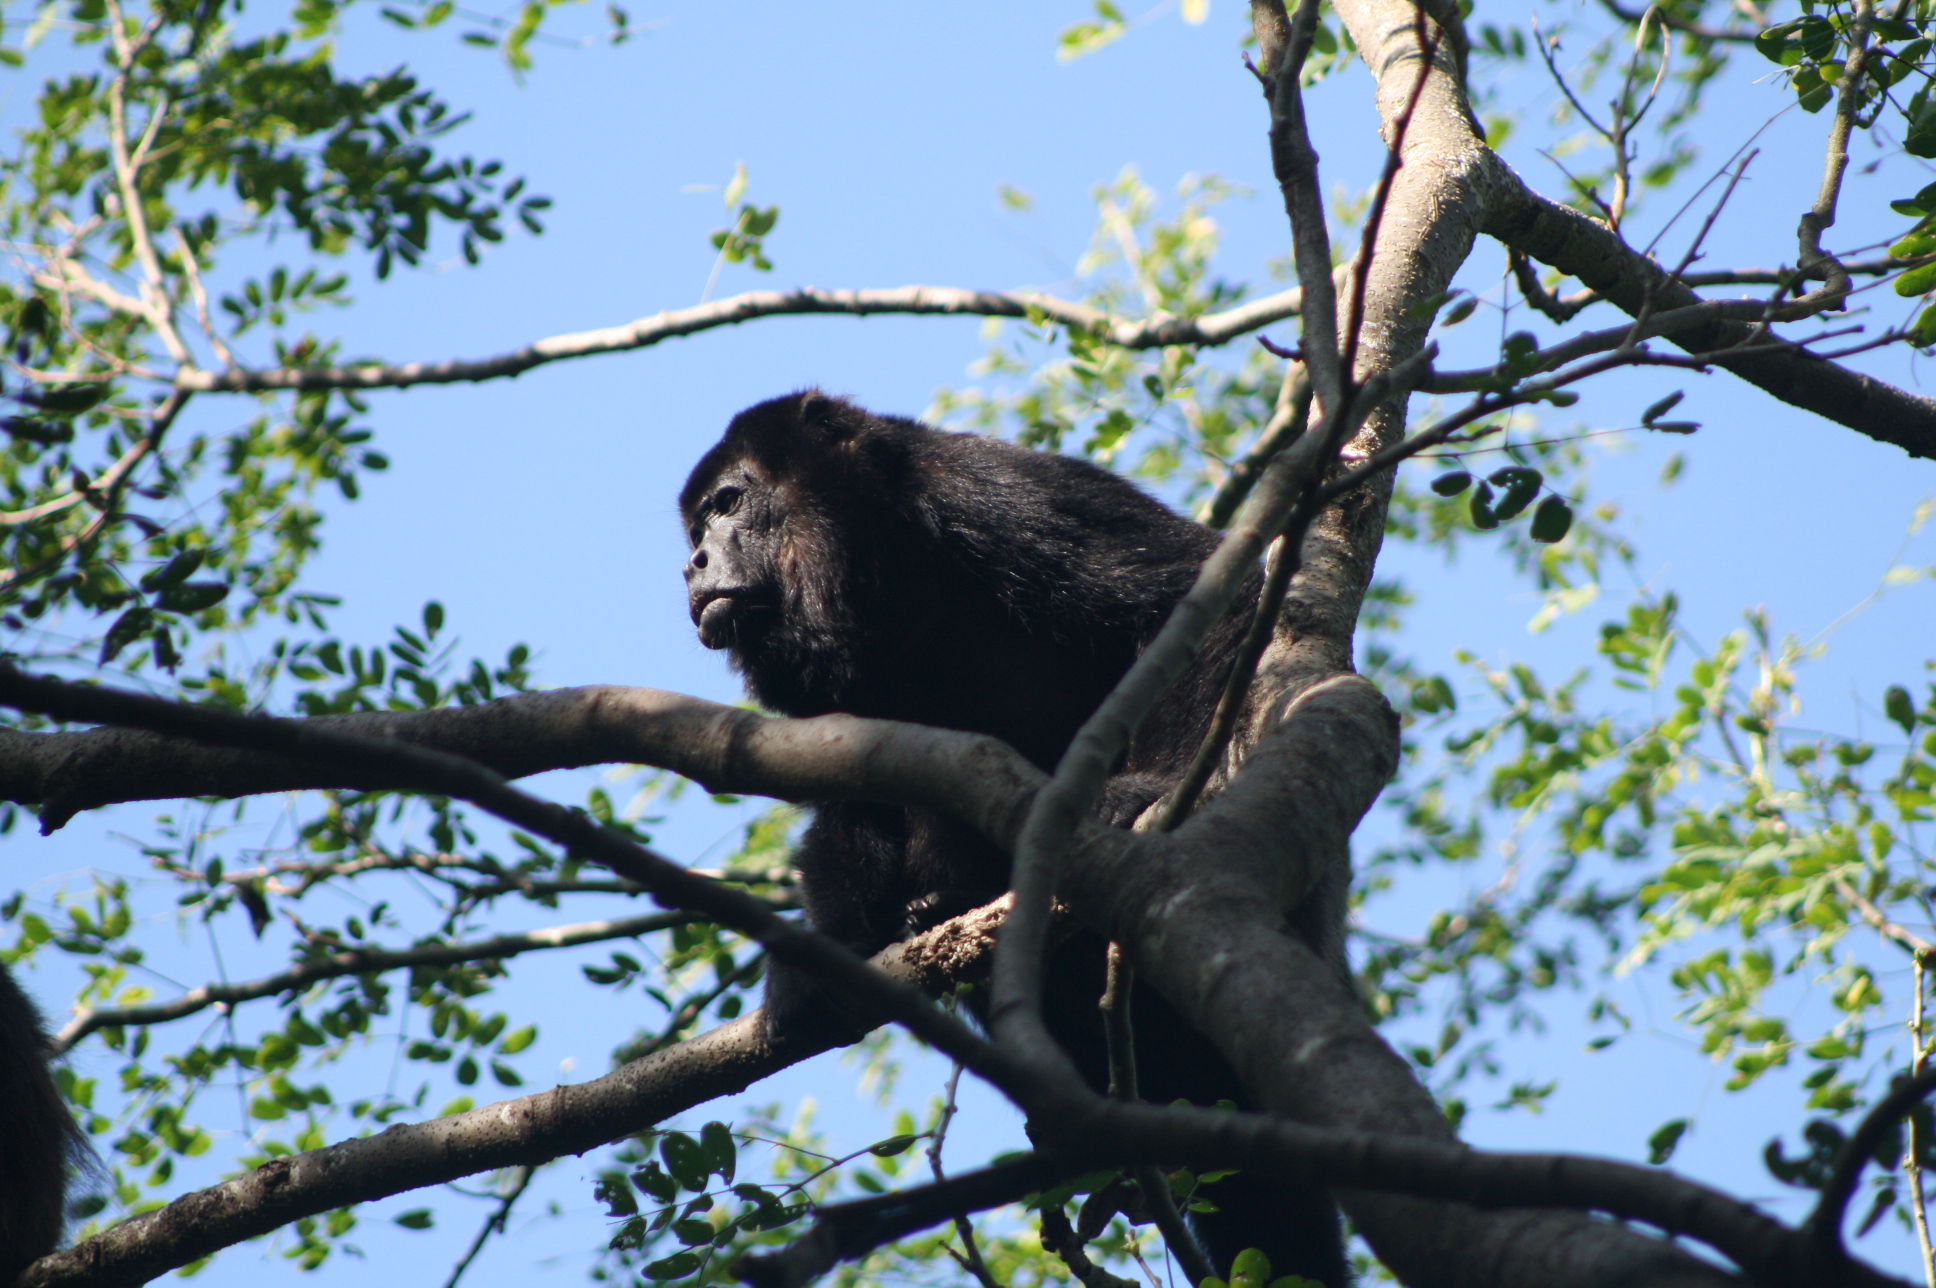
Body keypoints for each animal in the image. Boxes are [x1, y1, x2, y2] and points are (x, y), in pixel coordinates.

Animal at [681, 391, 1347, 1286]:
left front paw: (1149, 791)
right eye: (694, 529)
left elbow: (1199, 598)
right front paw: (822, 957)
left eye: (728, 503)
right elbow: (855, 784)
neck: (874, 556)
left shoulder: (988, 490)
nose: (693, 564)